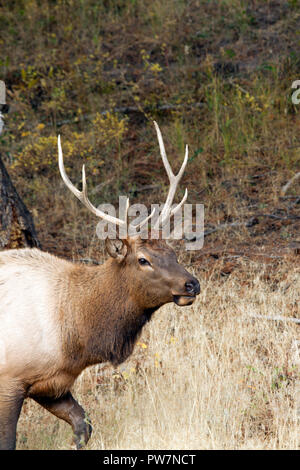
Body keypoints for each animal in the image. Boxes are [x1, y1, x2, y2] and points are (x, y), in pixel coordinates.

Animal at [0, 121, 202, 448]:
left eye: (173, 252)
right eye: (143, 260)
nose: (191, 284)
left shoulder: (52, 384)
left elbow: (84, 425)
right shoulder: (10, 378)